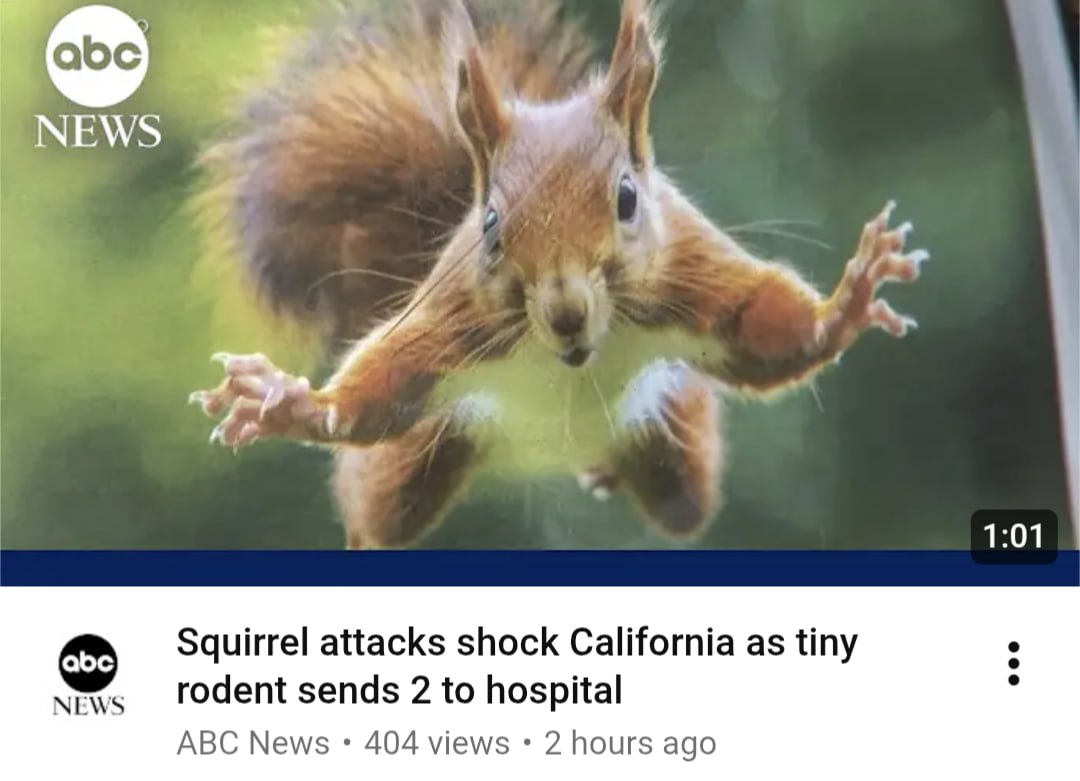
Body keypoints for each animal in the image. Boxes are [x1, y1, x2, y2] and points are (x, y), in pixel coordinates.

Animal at [190, 0, 928, 549]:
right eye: (490, 225)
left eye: (627, 198)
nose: (567, 311)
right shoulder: (455, 317)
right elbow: (382, 383)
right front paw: (290, 401)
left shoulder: (689, 276)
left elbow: (764, 330)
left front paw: (848, 302)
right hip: (413, 464)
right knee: (378, 509)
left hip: (676, 443)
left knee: (683, 502)